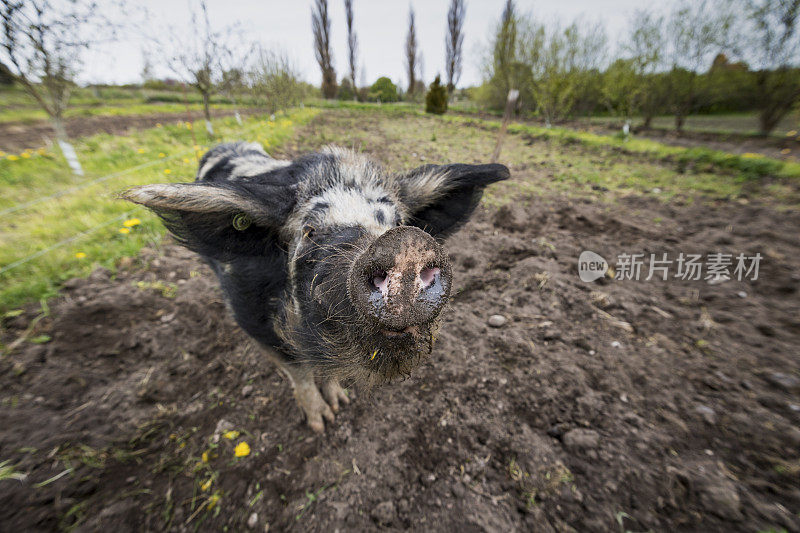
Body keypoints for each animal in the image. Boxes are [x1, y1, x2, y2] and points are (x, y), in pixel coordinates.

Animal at [123, 142, 512, 432]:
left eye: (398, 221)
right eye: (309, 230)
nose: (406, 244)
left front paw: (341, 404)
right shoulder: (252, 321)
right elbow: (299, 371)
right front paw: (322, 422)